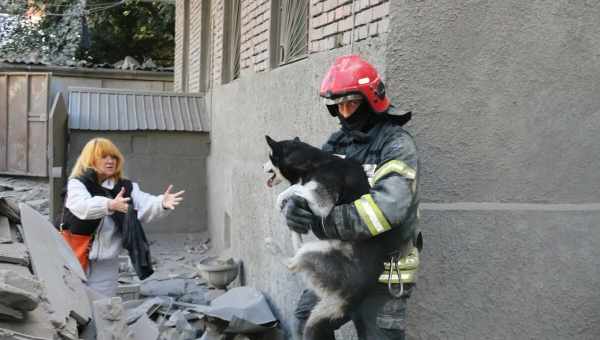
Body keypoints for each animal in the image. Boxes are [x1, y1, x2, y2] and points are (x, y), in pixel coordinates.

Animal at [264, 135, 386, 338]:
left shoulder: (322, 202)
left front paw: (280, 200)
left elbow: (295, 187)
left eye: (269, 157)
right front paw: (290, 212)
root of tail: (353, 297)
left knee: (292, 263)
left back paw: (273, 245)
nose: (262, 166)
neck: (314, 162)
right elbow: (297, 194)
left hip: (318, 250)